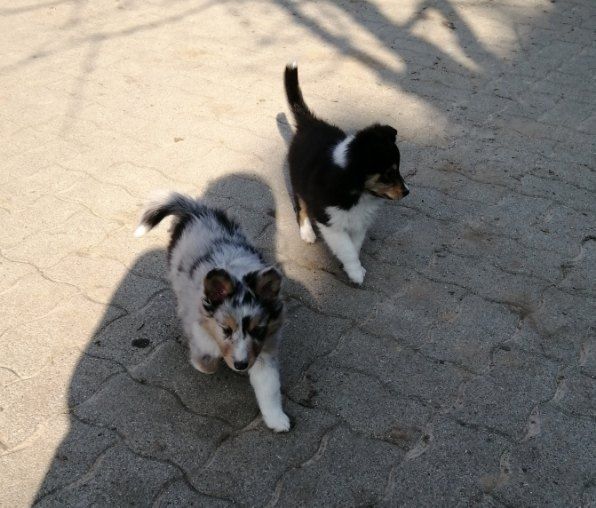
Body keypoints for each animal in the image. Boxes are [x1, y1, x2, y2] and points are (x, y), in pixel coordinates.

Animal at [135, 192, 290, 432]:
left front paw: (277, 419)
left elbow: (269, 386)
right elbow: (207, 358)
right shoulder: (199, 323)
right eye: (225, 329)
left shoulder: (263, 350)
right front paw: (206, 363)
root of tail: (196, 211)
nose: (241, 365)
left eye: (258, 330)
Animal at [284, 63, 409, 284]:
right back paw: (307, 233)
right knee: (302, 207)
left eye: (398, 169)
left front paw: (351, 267)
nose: (407, 192)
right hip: (297, 179)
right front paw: (356, 273)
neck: (357, 190)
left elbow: (354, 245)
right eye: (388, 174)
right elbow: (347, 248)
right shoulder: (330, 221)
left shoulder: (359, 220)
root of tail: (308, 122)